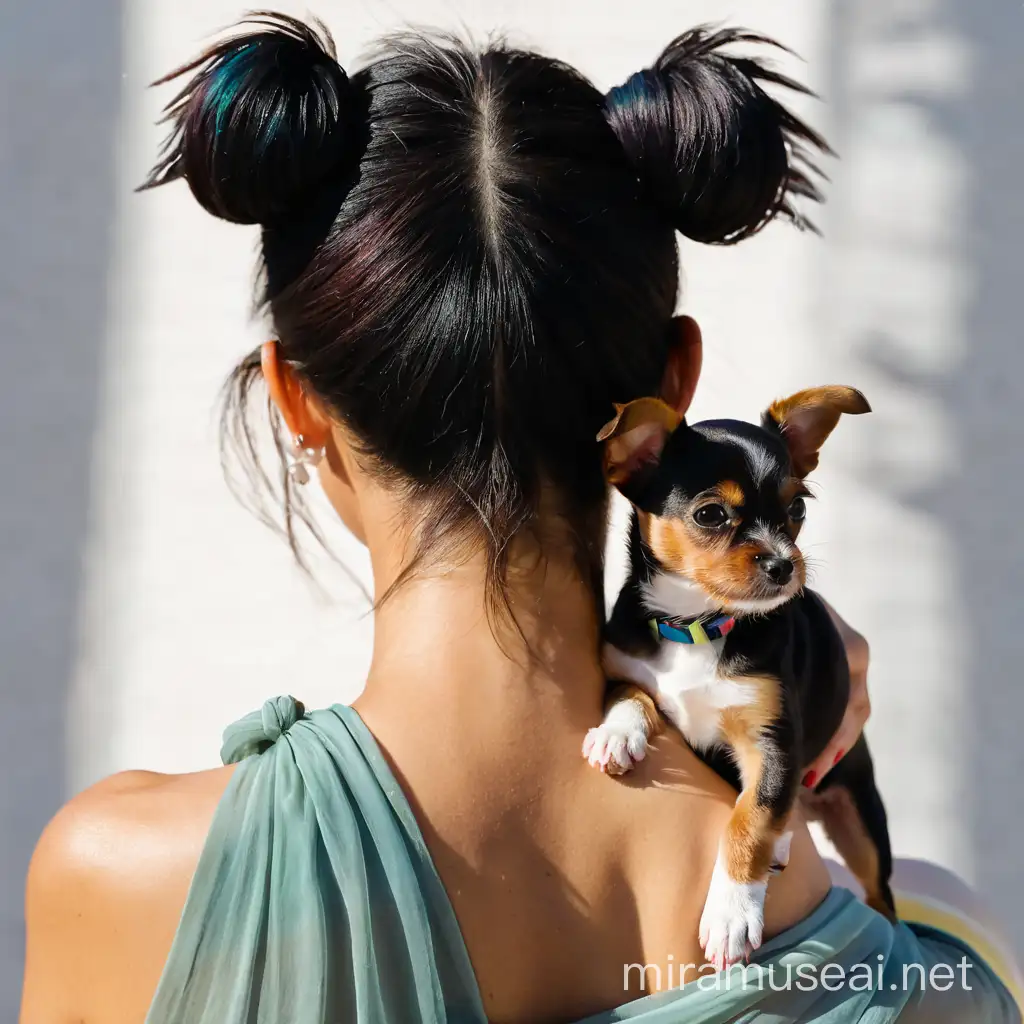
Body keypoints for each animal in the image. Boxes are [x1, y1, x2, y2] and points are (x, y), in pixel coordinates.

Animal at [589, 385, 892, 966]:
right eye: (711, 515)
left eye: (797, 508)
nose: (783, 564)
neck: (699, 625)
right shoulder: (623, 661)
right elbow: (631, 692)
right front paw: (617, 733)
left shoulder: (774, 744)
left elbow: (749, 819)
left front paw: (731, 914)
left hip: (860, 818)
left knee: (879, 892)